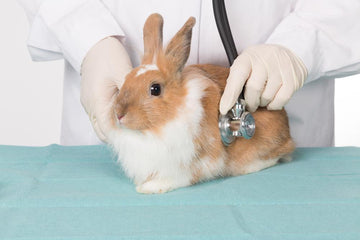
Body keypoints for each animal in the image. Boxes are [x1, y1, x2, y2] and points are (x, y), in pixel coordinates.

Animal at [107, 13, 296, 194]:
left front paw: (149, 188)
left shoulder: (191, 163)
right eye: (126, 80)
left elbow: (178, 178)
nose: (119, 114)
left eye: (155, 89)